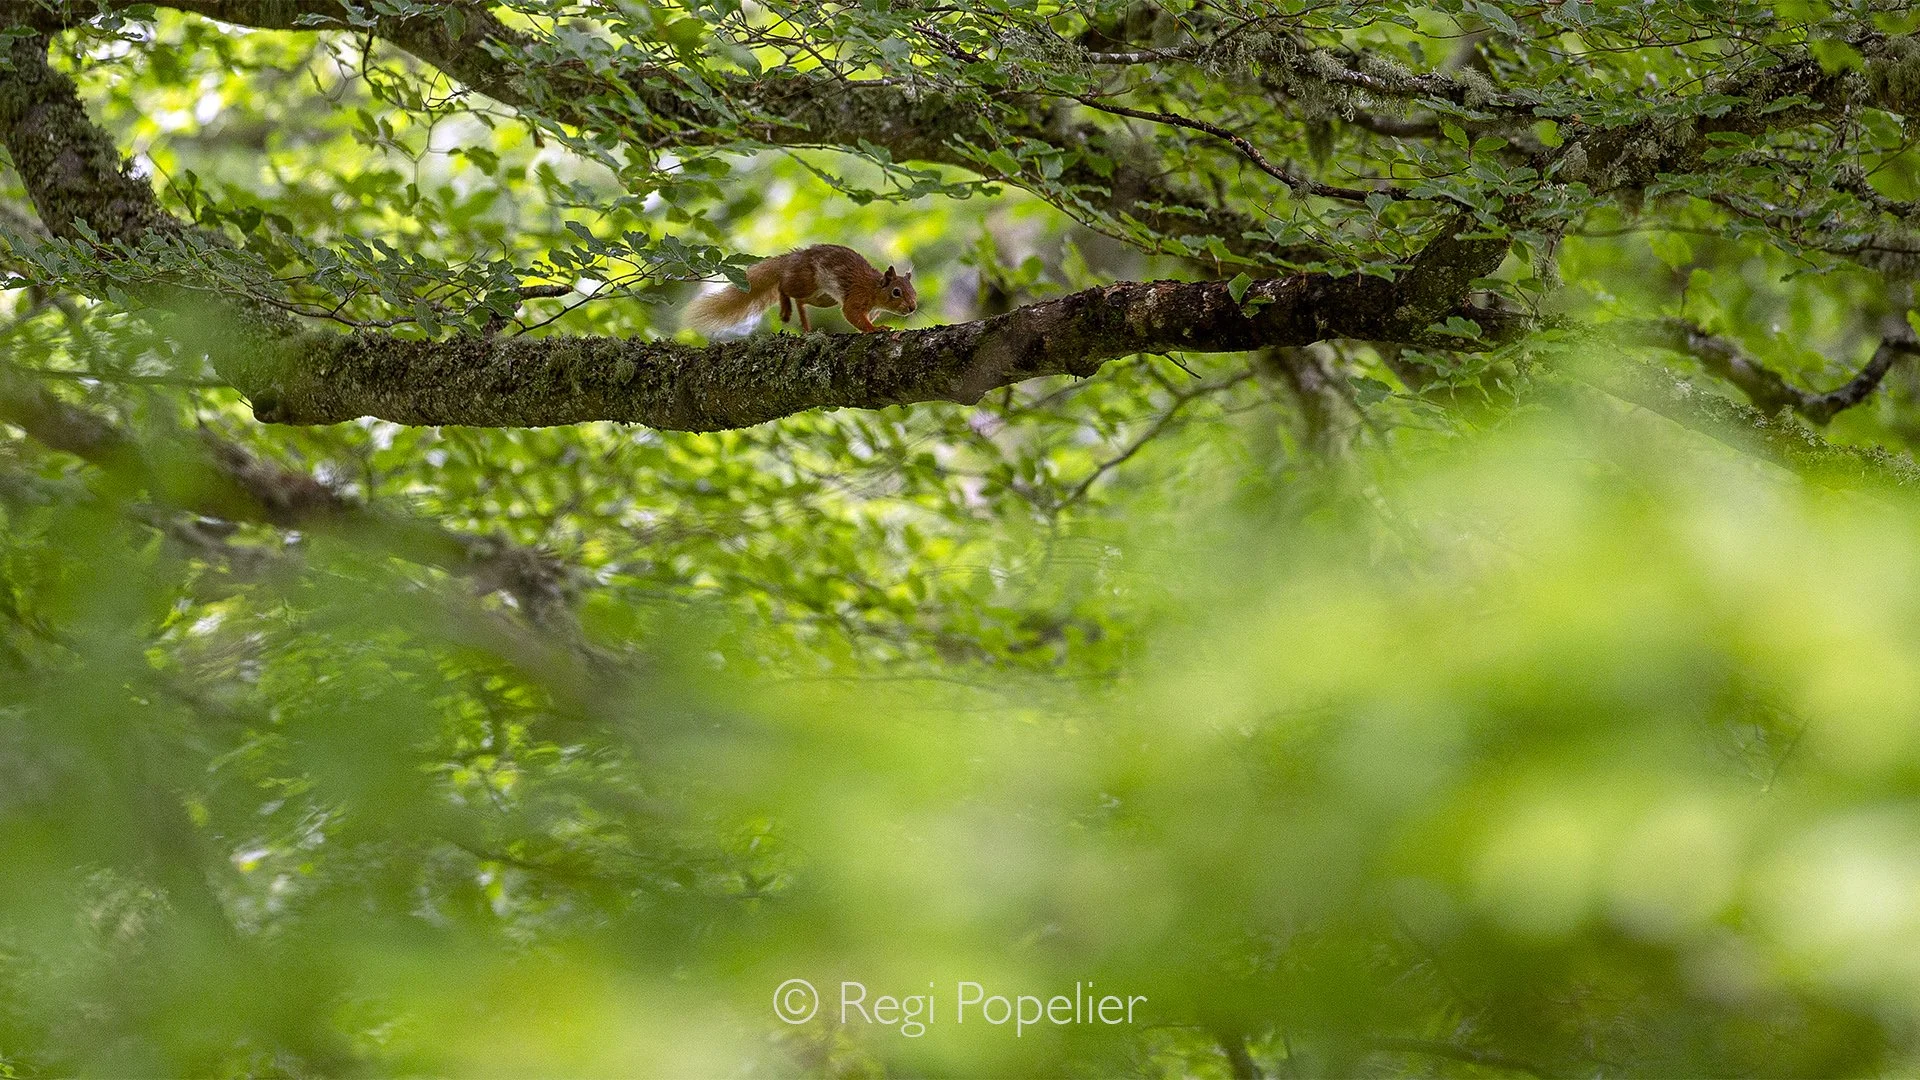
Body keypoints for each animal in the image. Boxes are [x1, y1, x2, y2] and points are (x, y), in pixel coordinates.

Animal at [684, 244, 917, 335]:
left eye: (914, 293)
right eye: (896, 292)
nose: (913, 307)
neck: (875, 290)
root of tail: (792, 259)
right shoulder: (856, 296)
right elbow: (852, 314)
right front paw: (876, 329)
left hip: (822, 298)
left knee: (801, 300)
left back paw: (805, 326)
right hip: (807, 281)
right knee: (783, 286)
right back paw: (785, 307)